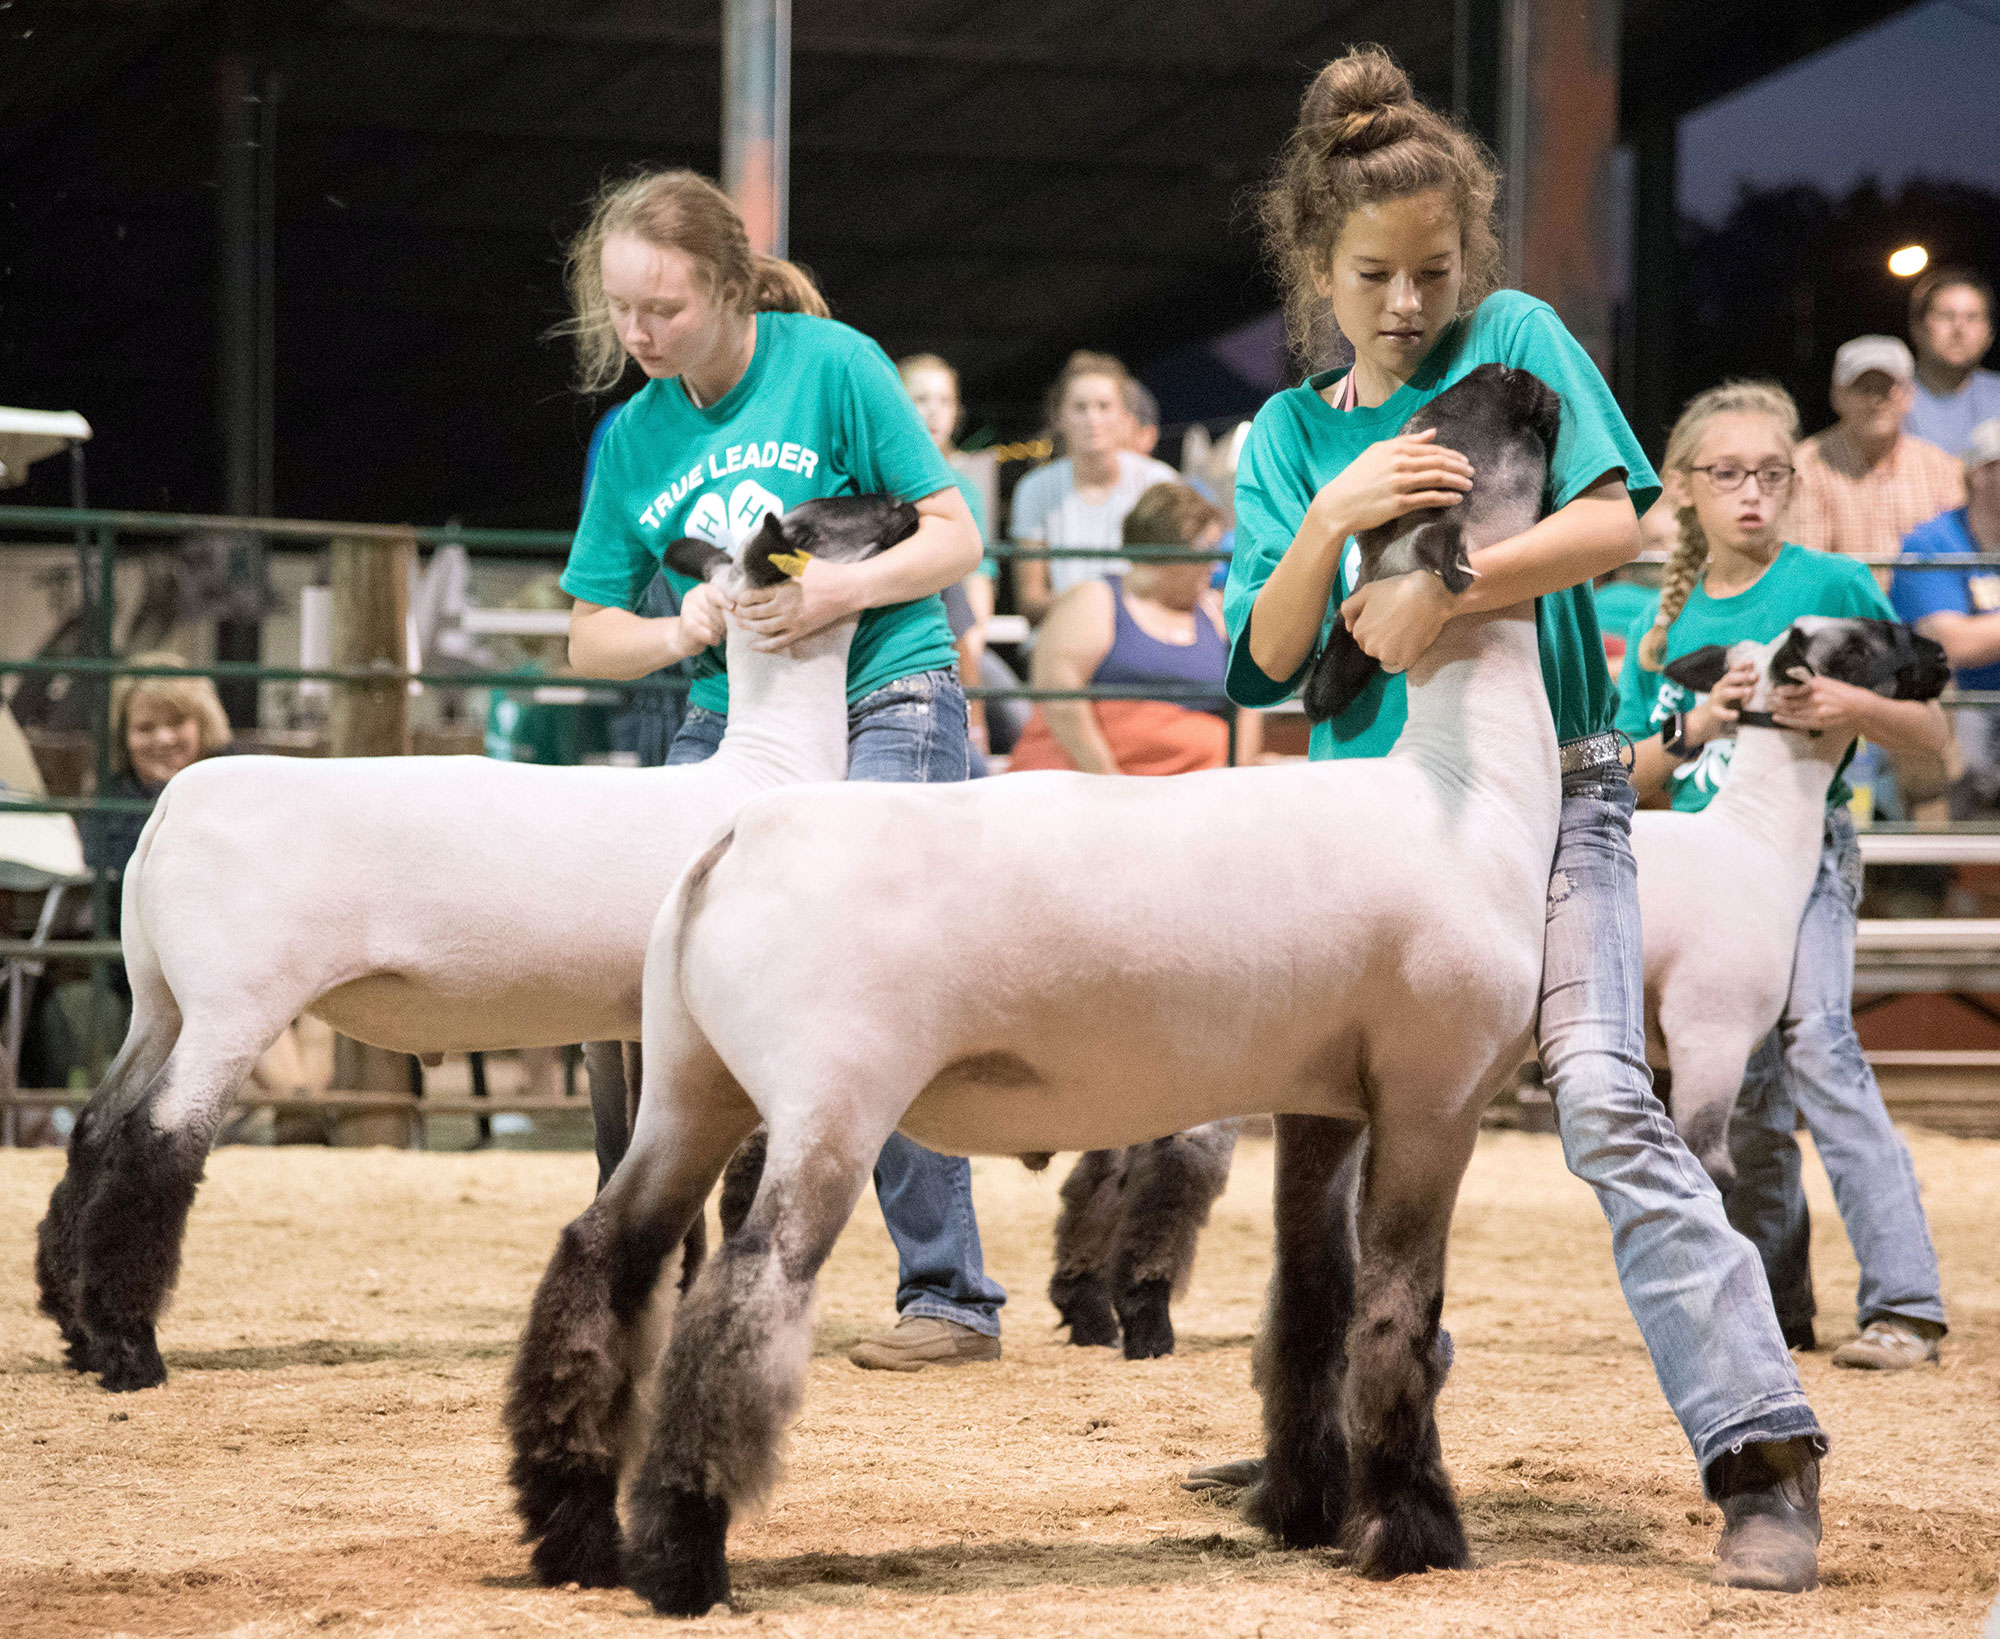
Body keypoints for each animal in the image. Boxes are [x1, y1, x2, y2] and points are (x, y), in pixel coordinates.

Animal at [37, 489, 916, 1399]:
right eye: (815, 524)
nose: (904, 505)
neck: (762, 773)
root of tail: (172, 803)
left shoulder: (615, 1020)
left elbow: (621, 1156)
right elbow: (724, 1172)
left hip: (159, 999)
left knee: (96, 1128)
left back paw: (75, 1328)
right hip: (233, 1003)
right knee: (154, 1142)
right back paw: (129, 1350)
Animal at [508, 361, 1568, 1615]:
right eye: (1455, 430)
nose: (1521, 376)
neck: (1468, 785)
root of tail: (734, 835)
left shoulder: (1322, 1099)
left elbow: (1311, 1303)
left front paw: (1302, 1509)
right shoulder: (1433, 1093)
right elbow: (1400, 1311)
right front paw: (1412, 1527)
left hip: (691, 1081)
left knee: (600, 1256)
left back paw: (571, 1526)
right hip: (830, 1098)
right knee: (741, 1298)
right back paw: (681, 1556)